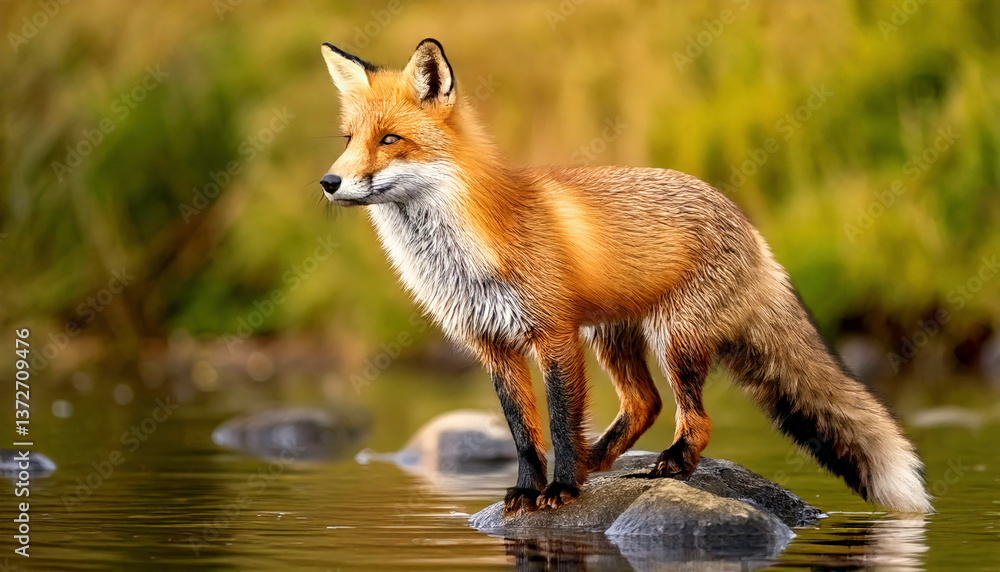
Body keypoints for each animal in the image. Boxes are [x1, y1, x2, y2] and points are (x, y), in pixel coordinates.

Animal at [317, 38, 932, 515]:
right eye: (348, 140)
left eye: (390, 139)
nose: (329, 182)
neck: (462, 255)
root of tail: (750, 229)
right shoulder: (495, 345)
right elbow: (523, 433)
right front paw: (527, 490)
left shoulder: (554, 334)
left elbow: (560, 422)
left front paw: (562, 488)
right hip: (614, 335)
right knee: (644, 404)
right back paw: (601, 462)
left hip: (674, 339)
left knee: (693, 417)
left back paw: (669, 465)